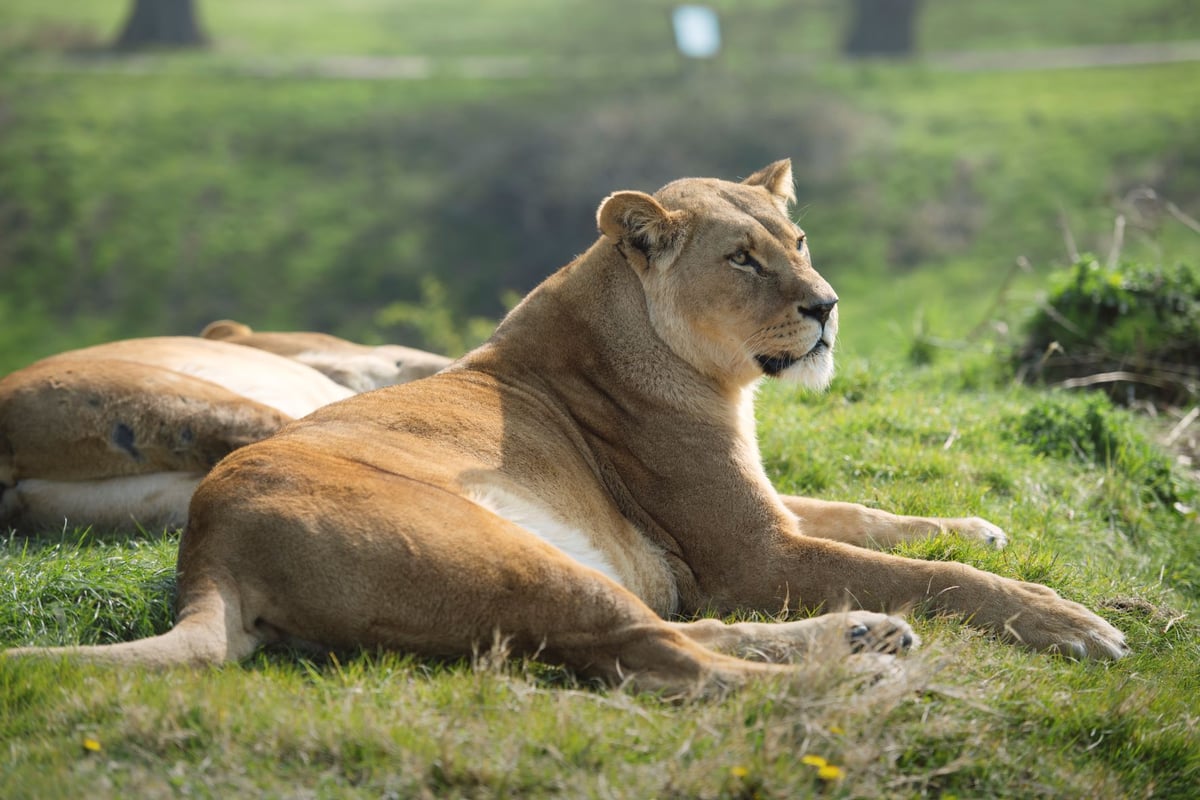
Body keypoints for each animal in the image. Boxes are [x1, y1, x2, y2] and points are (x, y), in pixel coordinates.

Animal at [3, 161, 1126, 694]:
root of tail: (205, 546)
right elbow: (934, 576)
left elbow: (874, 518)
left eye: (799, 241)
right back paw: (859, 670)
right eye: (743, 259)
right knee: (670, 659)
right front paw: (1068, 619)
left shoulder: (759, 516)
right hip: (495, 550)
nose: (827, 305)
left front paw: (975, 526)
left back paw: (861, 635)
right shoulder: (749, 551)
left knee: (658, 634)